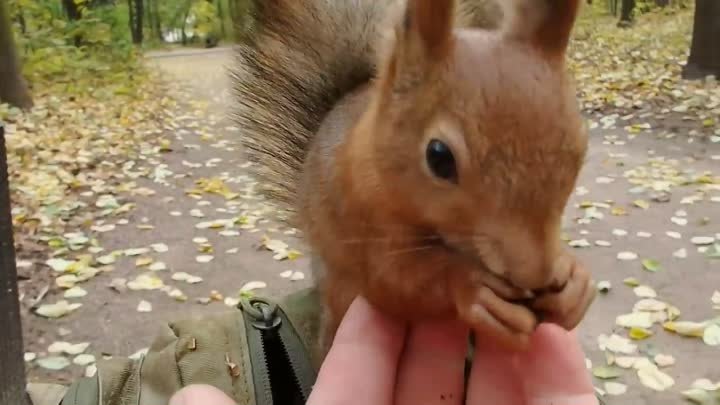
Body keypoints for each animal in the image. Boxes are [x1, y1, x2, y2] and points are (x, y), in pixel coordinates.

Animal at [233, 0, 592, 354]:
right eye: (439, 157)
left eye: (580, 144)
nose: (536, 273)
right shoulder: (363, 223)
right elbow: (397, 282)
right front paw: (473, 287)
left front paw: (574, 280)